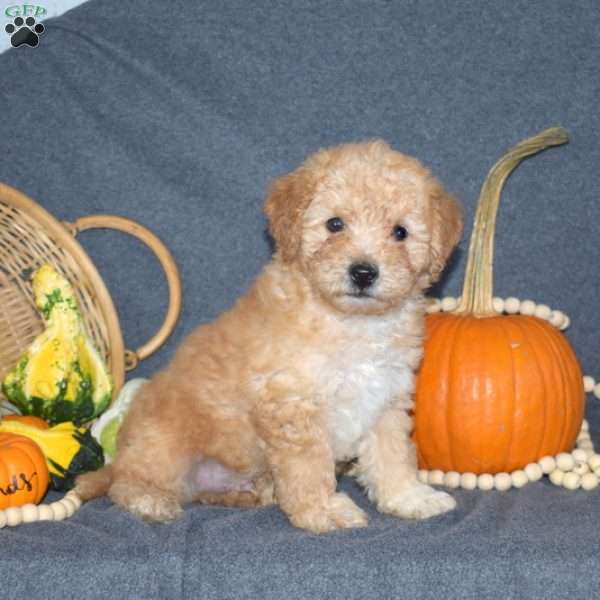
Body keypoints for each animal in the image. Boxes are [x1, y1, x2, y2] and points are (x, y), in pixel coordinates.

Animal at [76, 141, 464, 536]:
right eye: (334, 225)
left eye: (400, 232)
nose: (363, 272)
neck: (350, 321)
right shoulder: (292, 404)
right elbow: (310, 468)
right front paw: (322, 511)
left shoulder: (386, 397)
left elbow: (392, 454)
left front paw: (409, 497)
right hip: (164, 441)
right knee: (129, 481)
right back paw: (150, 500)